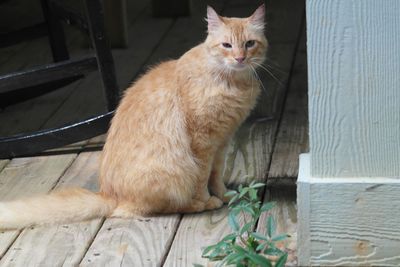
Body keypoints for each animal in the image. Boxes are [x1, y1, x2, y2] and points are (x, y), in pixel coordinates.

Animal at [1, 4, 268, 229]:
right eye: (227, 45)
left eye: (249, 44)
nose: (240, 58)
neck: (232, 82)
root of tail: (107, 194)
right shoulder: (202, 143)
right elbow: (203, 178)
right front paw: (209, 198)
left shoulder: (222, 141)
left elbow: (216, 174)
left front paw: (224, 194)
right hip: (173, 172)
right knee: (158, 208)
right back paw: (200, 205)